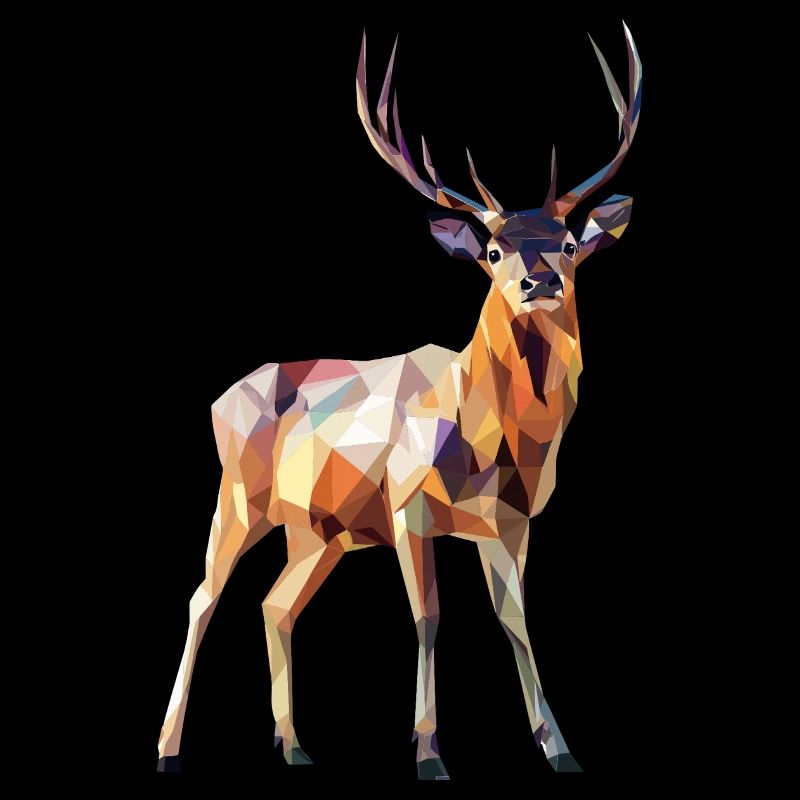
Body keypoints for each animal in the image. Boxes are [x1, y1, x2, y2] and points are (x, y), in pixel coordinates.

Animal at [157, 24, 642, 779]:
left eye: (567, 243)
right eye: (493, 251)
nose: (540, 282)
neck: (492, 439)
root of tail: (218, 399)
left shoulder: (510, 521)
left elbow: (515, 619)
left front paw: (559, 748)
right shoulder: (406, 501)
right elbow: (428, 617)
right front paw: (428, 753)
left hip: (319, 532)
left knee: (275, 604)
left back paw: (294, 746)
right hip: (238, 494)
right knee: (203, 597)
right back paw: (169, 749)